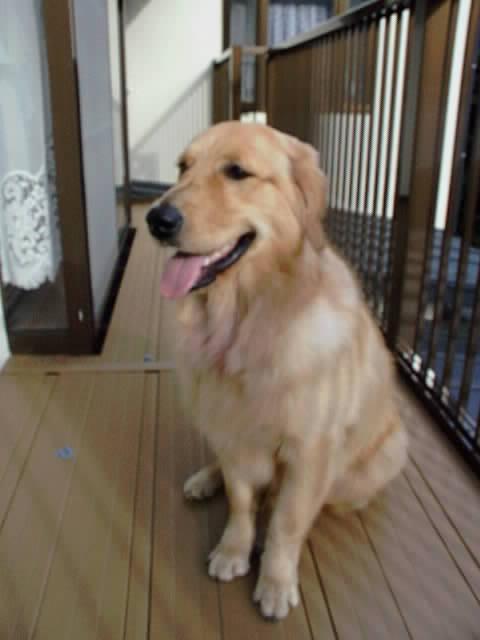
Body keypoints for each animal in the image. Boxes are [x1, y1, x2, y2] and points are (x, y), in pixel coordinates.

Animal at [146, 122, 408, 620]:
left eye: (236, 172)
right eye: (183, 167)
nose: (157, 220)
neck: (244, 323)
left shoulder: (310, 449)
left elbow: (287, 520)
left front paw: (275, 580)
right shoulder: (231, 430)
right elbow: (240, 501)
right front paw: (233, 549)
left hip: (385, 453)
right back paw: (205, 480)